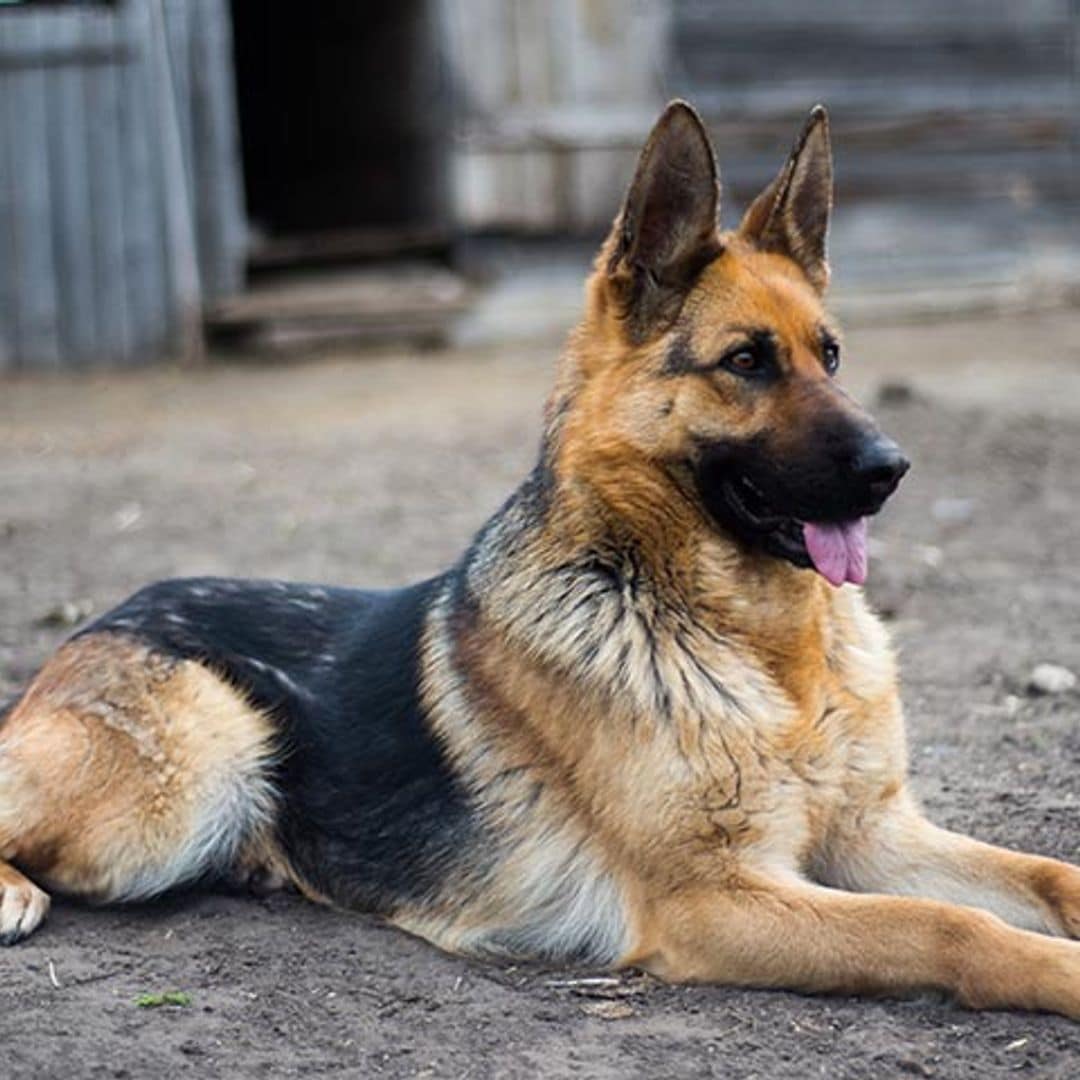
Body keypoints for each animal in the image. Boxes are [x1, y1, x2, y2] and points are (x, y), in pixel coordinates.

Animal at [2, 103, 1080, 1019]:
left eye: (833, 355)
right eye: (745, 362)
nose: (892, 468)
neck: (764, 652)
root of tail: (107, 617)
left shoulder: (873, 835)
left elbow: (1042, 875)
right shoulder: (718, 899)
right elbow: (946, 928)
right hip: (187, 780)